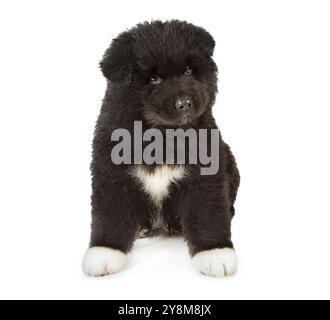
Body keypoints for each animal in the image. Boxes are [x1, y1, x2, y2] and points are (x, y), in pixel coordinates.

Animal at [82, 20, 240, 278]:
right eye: (153, 79)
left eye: (188, 70)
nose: (185, 103)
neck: (163, 135)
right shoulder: (111, 172)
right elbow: (110, 213)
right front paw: (105, 252)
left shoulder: (205, 175)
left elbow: (207, 212)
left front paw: (214, 253)